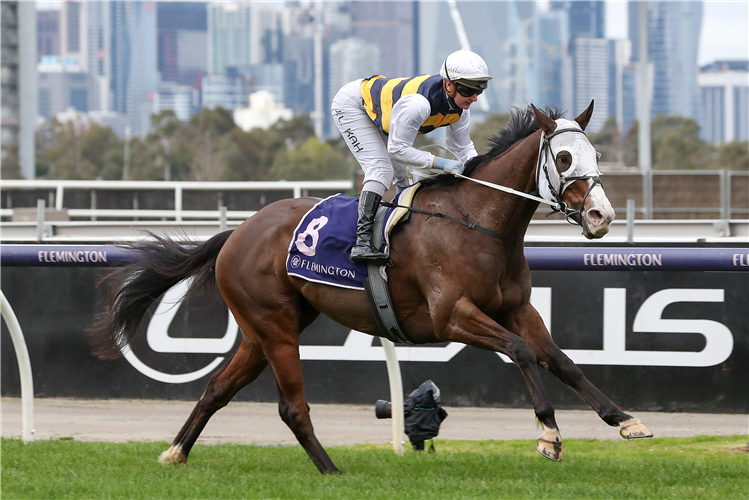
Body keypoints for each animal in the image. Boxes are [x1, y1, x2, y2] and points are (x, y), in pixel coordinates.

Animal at [87, 101, 648, 472]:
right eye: (564, 159)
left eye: (596, 153)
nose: (601, 216)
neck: (478, 222)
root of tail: (237, 232)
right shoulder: (451, 315)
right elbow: (523, 353)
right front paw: (549, 435)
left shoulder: (517, 309)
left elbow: (562, 360)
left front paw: (623, 419)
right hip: (274, 326)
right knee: (291, 406)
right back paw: (332, 471)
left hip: (261, 330)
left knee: (217, 389)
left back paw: (175, 452)